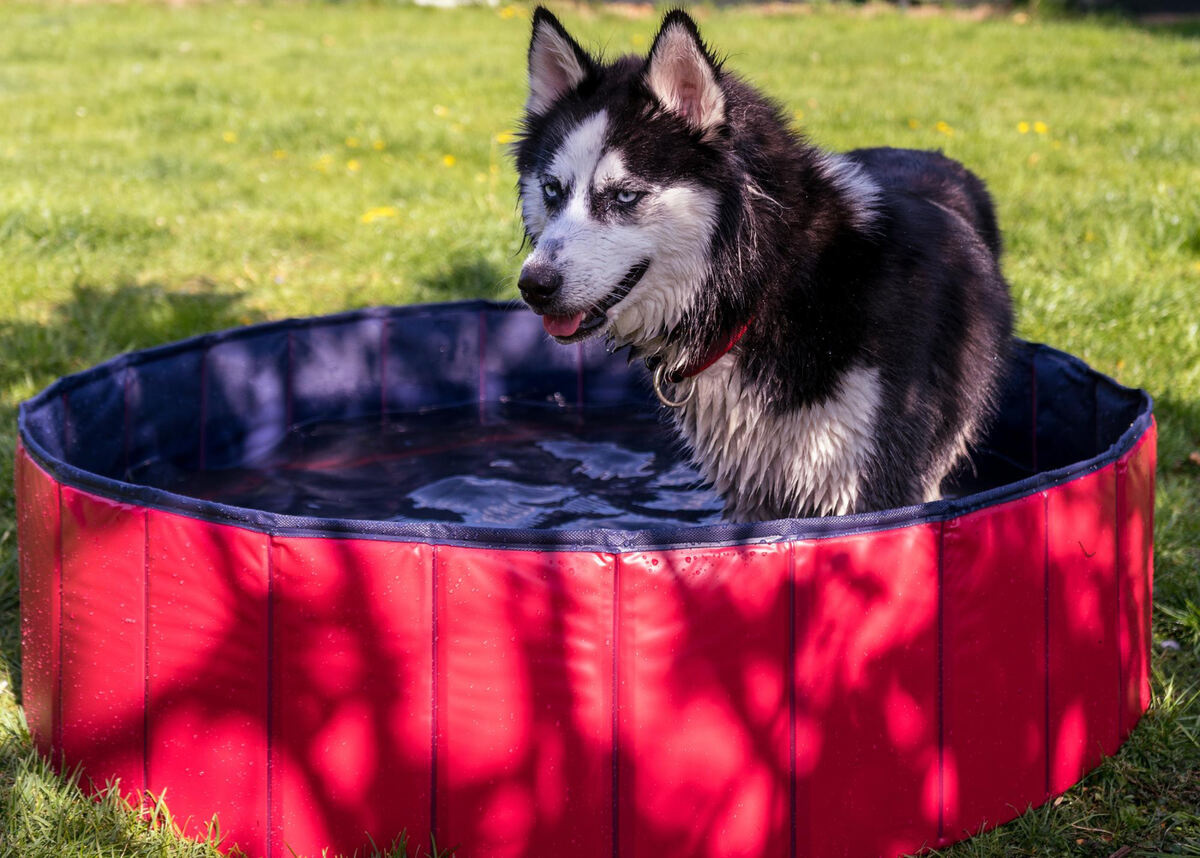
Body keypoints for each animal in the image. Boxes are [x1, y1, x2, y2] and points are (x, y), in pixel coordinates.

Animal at [516, 6, 1012, 520]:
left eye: (625, 196)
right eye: (552, 189)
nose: (533, 286)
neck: (775, 280)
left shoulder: (871, 489)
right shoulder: (754, 493)